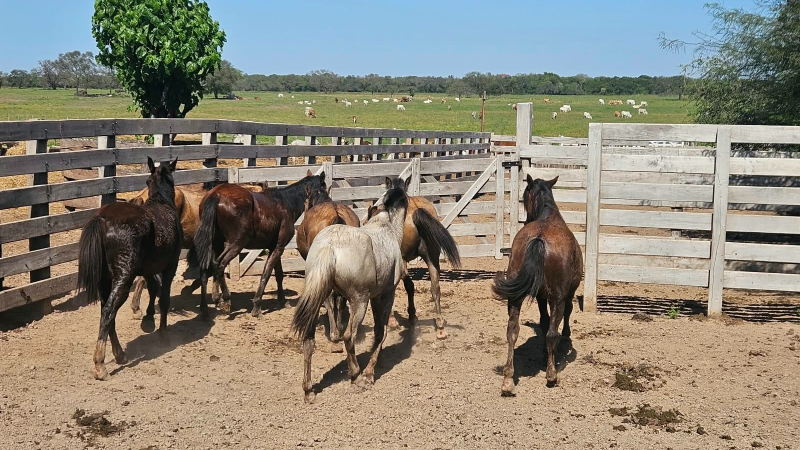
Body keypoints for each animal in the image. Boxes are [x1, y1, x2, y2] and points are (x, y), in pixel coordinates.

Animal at [77, 157, 182, 380]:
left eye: (146, 180)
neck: (162, 203)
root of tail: (102, 219)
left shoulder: (150, 269)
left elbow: (152, 289)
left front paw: (148, 320)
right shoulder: (170, 266)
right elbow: (163, 297)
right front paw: (163, 334)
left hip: (106, 280)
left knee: (106, 312)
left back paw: (120, 355)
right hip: (123, 279)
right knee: (109, 311)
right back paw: (100, 365)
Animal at [194, 170, 326, 316]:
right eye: (324, 187)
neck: (285, 203)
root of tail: (216, 195)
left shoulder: (275, 247)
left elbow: (279, 274)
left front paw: (282, 301)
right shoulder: (279, 247)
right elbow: (266, 274)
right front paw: (257, 306)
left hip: (215, 243)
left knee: (206, 269)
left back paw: (206, 307)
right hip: (236, 244)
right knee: (219, 264)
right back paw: (225, 300)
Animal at [367, 192, 461, 339]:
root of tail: (416, 211)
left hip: (404, 260)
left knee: (409, 286)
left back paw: (412, 317)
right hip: (432, 258)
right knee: (435, 288)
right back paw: (439, 326)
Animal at [493, 175, 583, 395]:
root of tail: (539, 239)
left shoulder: (541, 296)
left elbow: (543, 320)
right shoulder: (563, 295)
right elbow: (562, 317)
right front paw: (565, 336)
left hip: (515, 297)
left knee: (512, 331)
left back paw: (508, 379)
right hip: (557, 297)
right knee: (552, 333)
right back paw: (551, 375)